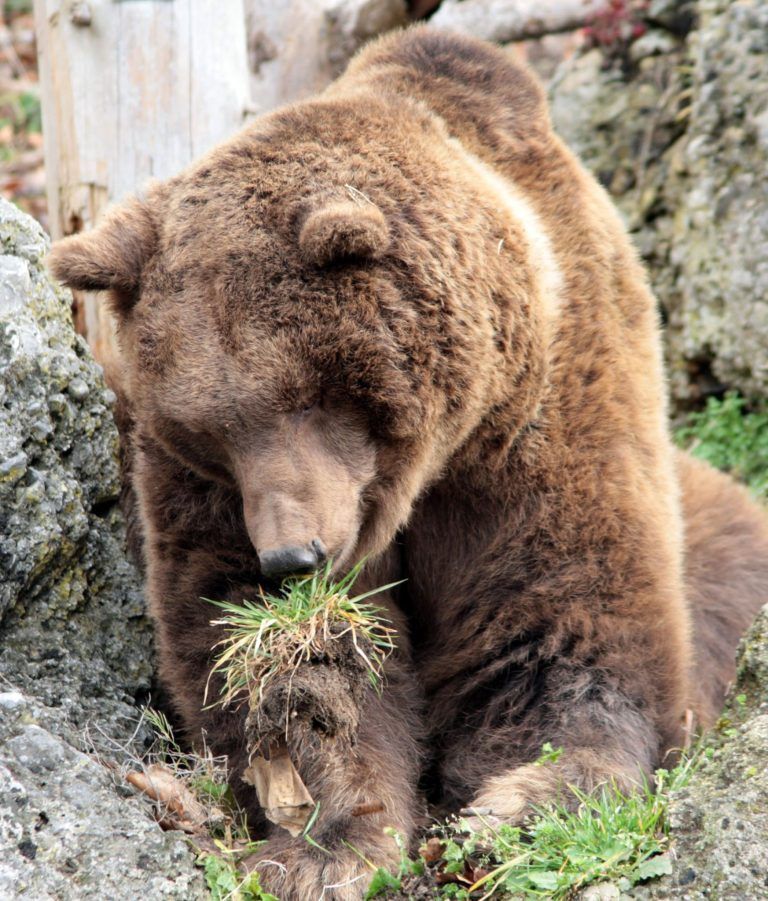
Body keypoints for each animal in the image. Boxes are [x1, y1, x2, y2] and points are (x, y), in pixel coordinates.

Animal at [49, 26, 768, 900]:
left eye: (308, 396)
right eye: (211, 428)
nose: (291, 556)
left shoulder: (541, 427)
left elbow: (553, 625)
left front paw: (518, 805)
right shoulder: (204, 490)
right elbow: (274, 659)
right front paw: (325, 841)